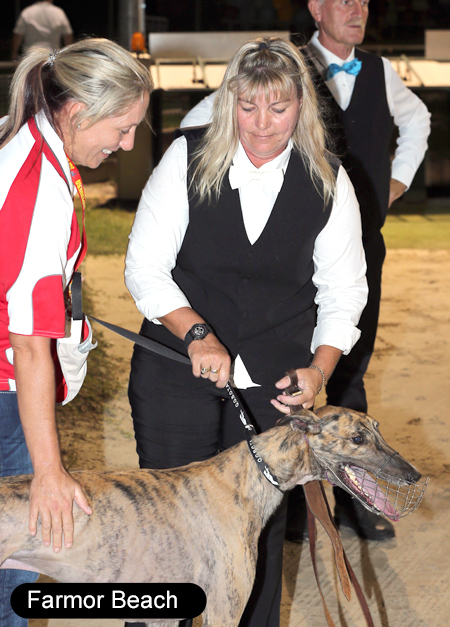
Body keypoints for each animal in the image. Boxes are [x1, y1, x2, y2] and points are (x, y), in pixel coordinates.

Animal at [0, 406, 424, 626]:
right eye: (357, 439)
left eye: (378, 429)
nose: (415, 476)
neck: (252, 475)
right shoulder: (224, 609)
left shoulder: (164, 613)